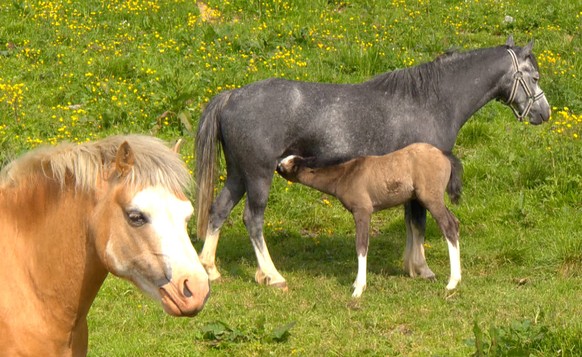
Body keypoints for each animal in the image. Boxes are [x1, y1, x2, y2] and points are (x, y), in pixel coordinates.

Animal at [278, 143, 466, 296]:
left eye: (288, 165)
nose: (277, 164)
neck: (347, 174)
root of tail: (443, 154)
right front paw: (356, 284)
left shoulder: (362, 211)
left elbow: (361, 246)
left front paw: (359, 288)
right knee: (455, 223)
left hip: (431, 199)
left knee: (448, 227)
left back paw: (452, 282)